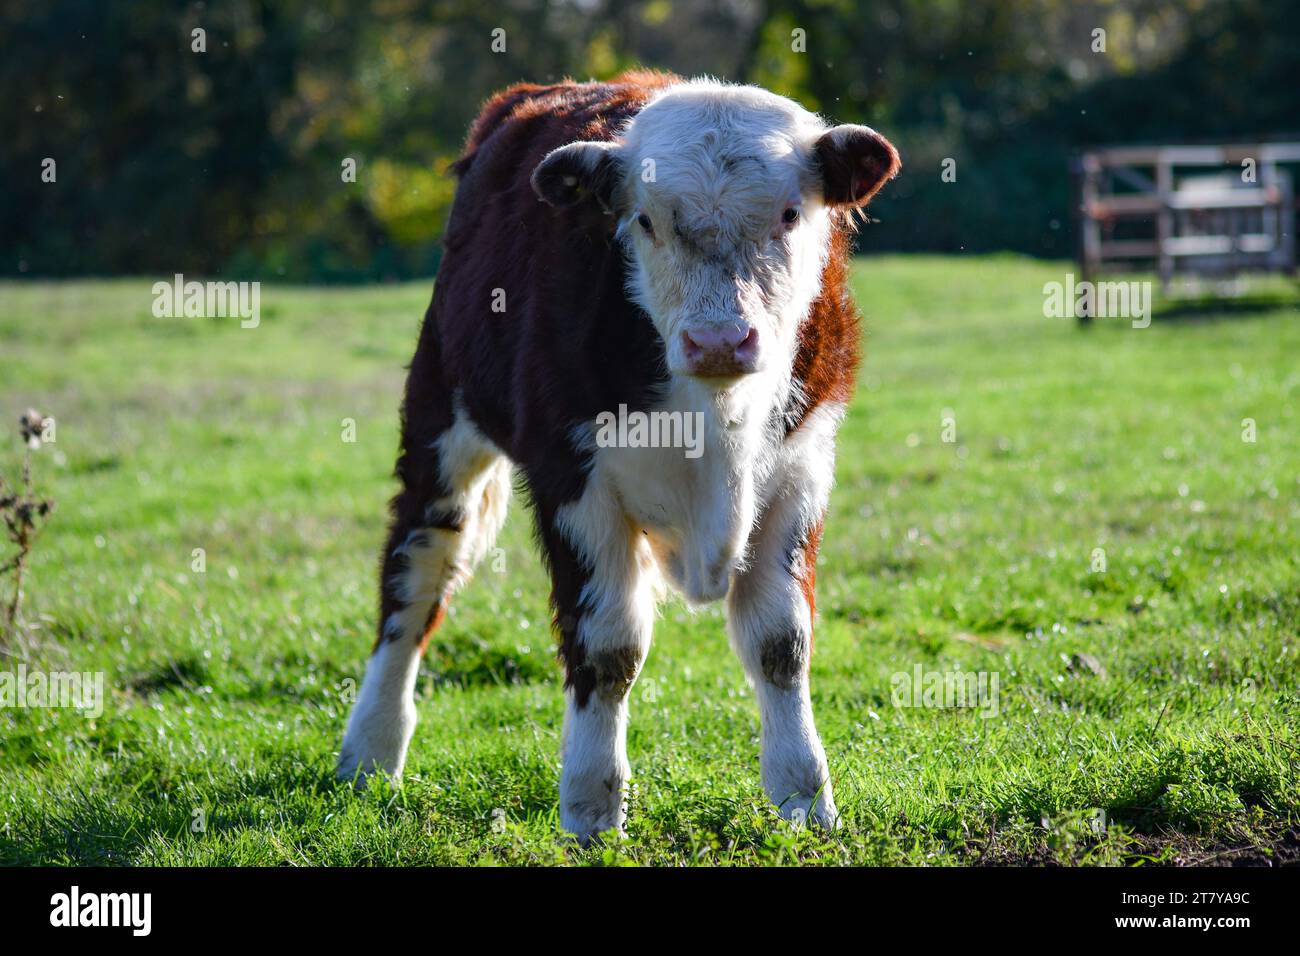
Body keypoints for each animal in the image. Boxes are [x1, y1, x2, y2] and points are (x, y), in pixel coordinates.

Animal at [340, 72, 899, 842]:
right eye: (645, 221)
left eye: (790, 214)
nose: (718, 341)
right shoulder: (573, 482)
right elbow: (607, 651)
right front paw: (591, 808)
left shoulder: (802, 471)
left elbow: (781, 643)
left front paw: (804, 796)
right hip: (441, 427)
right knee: (415, 575)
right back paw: (369, 750)